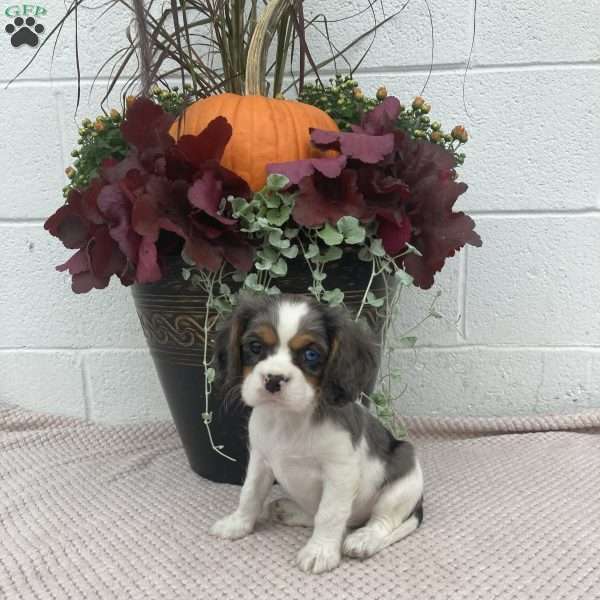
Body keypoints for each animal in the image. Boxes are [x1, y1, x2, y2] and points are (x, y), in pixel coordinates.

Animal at [209, 292, 424, 576]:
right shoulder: (260, 461)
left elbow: (329, 514)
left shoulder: (340, 472)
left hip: (404, 475)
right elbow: (250, 494)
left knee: (381, 520)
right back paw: (291, 511)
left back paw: (364, 538)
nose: (273, 379)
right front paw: (238, 524)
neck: (289, 419)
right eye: (255, 347)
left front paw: (320, 552)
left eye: (311, 354)